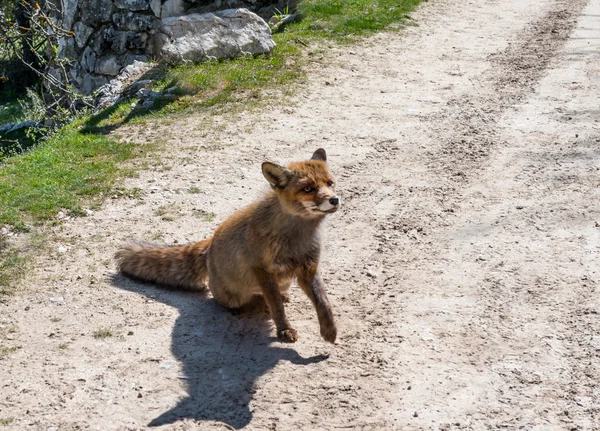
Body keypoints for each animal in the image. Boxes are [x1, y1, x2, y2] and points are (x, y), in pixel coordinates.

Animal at [115, 148, 340, 344]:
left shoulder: (308, 268)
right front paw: (284, 329)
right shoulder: (262, 269)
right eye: (308, 189)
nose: (334, 199)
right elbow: (276, 307)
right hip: (234, 295)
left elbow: (323, 302)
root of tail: (211, 241)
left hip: (283, 281)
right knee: (225, 297)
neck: (296, 239)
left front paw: (329, 330)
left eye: (330, 183)